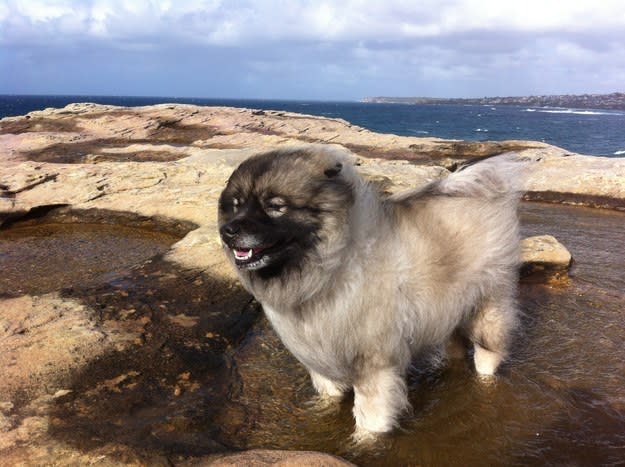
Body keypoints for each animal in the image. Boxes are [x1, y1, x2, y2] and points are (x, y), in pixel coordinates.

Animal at [218, 145, 520, 438]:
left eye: (275, 206)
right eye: (236, 206)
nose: (228, 231)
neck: (333, 267)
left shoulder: (374, 365)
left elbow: (370, 417)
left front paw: (365, 442)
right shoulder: (320, 359)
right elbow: (329, 396)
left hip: (486, 308)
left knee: (488, 352)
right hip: (448, 311)